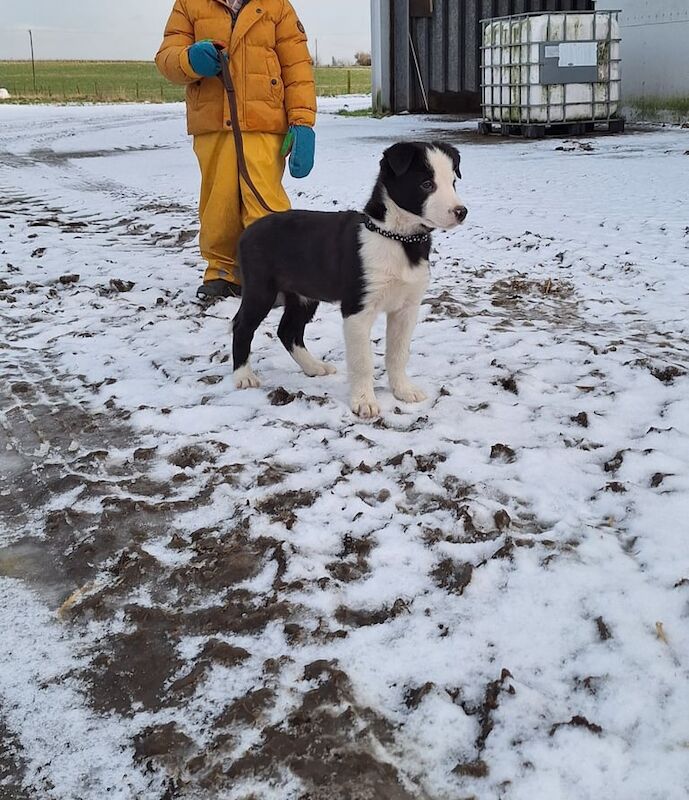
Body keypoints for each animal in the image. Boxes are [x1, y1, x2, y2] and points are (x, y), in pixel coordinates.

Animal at [234, 141, 464, 418]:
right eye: (426, 184)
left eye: (453, 182)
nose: (461, 212)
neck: (398, 239)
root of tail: (248, 230)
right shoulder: (357, 309)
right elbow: (362, 361)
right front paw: (364, 401)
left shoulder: (406, 308)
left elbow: (398, 353)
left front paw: (403, 390)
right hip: (261, 289)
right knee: (241, 326)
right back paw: (243, 376)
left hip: (304, 295)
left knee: (288, 330)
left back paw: (313, 367)